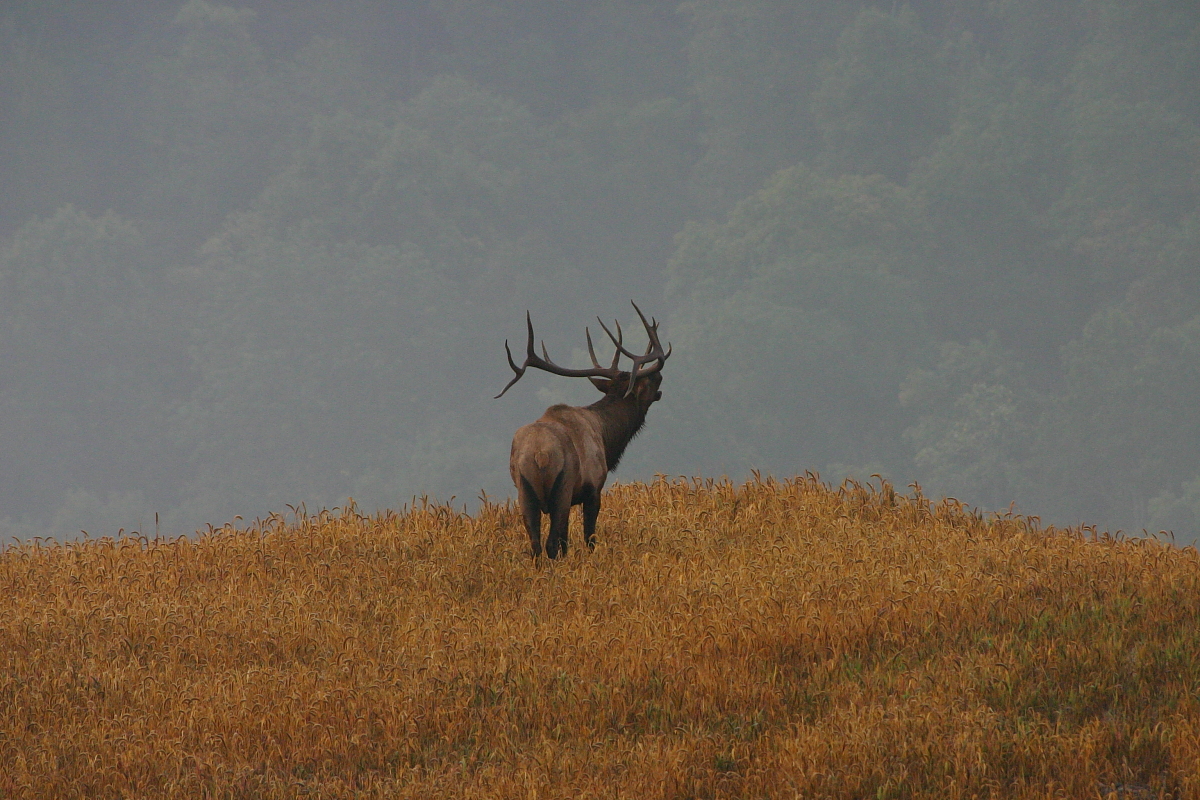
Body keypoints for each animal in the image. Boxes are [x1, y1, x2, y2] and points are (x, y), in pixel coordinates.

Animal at [492, 303, 672, 561]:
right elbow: (589, 537)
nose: (659, 375)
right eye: (648, 381)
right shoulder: (593, 487)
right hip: (563, 486)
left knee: (536, 545)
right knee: (550, 543)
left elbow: (567, 540)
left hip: (524, 489)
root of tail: (539, 454)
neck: (607, 439)